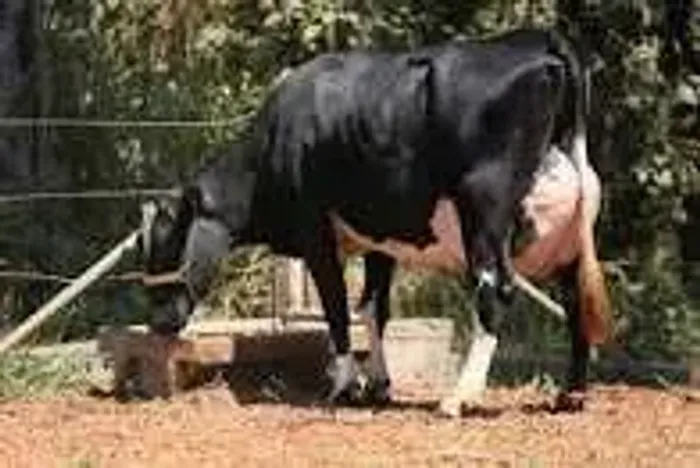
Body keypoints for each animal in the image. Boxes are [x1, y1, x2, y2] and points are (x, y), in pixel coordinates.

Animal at [138, 27, 611, 417]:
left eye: (165, 243)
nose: (157, 322)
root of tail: (541, 39)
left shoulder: (315, 230)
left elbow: (337, 307)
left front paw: (345, 386)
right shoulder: (382, 239)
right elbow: (373, 308)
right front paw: (379, 385)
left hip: (485, 210)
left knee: (496, 291)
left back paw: (459, 397)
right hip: (568, 231)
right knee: (575, 298)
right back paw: (570, 395)